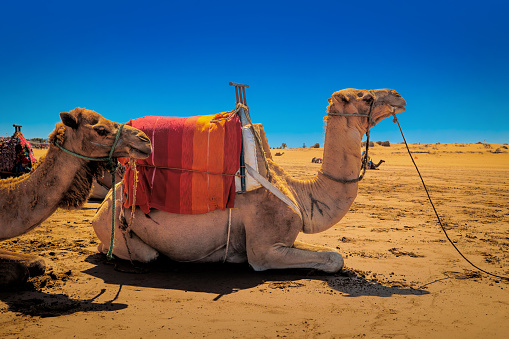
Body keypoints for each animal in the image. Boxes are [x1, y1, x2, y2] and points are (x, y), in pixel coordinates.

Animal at [91, 88, 406, 274]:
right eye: (366, 97)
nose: (399, 96)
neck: (300, 195)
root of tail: (101, 207)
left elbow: (333, 254)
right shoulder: (265, 249)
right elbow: (334, 258)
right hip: (120, 230)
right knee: (148, 255)